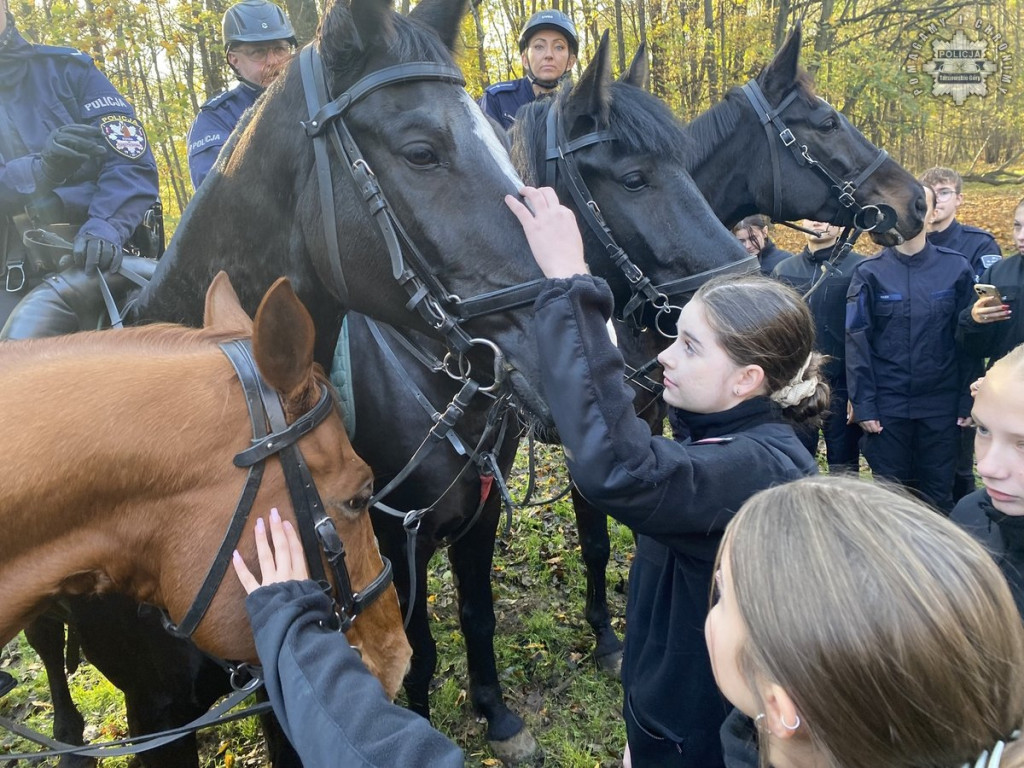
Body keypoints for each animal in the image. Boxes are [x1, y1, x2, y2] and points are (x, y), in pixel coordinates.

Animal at [339, 33, 749, 765]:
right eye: (635, 179)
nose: (743, 282)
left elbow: (499, 599)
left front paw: (508, 708)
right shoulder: (393, 537)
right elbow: (415, 647)